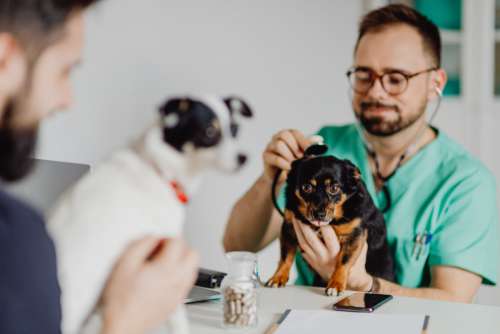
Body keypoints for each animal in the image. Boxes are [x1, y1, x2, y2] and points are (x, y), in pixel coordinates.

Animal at [266, 150, 394, 296]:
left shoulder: (354, 235)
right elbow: (285, 257)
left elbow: (343, 261)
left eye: (334, 188)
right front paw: (278, 277)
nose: (319, 215)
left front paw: (336, 284)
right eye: (306, 187)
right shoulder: (289, 228)